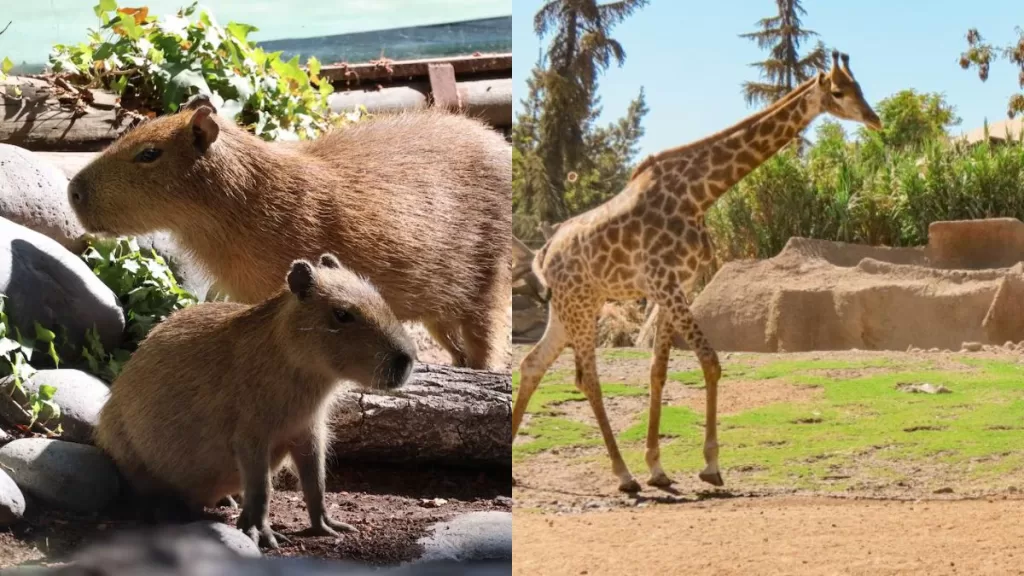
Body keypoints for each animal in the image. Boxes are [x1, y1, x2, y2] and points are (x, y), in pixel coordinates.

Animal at [512, 51, 882, 493]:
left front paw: (658, 467)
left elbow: (658, 371)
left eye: (860, 87)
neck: (698, 195)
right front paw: (710, 465)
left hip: (568, 308)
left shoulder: (675, 286)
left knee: (532, 363)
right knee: (587, 379)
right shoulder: (664, 283)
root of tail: (545, 252)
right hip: (582, 306)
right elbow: (710, 361)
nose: (875, 118)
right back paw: (623, 474)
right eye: (840, 92)